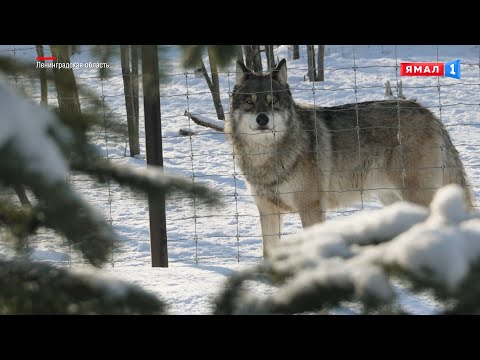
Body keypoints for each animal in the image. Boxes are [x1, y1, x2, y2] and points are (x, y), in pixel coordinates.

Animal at [226, 59, 476, 256]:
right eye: (249, 101)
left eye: (273, 101)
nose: (262, 119)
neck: (266, 156)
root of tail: (430, 114)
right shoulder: (268, 210)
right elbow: (268, 251)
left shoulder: (311, 208)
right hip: (391, 198)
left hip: (415, 195)